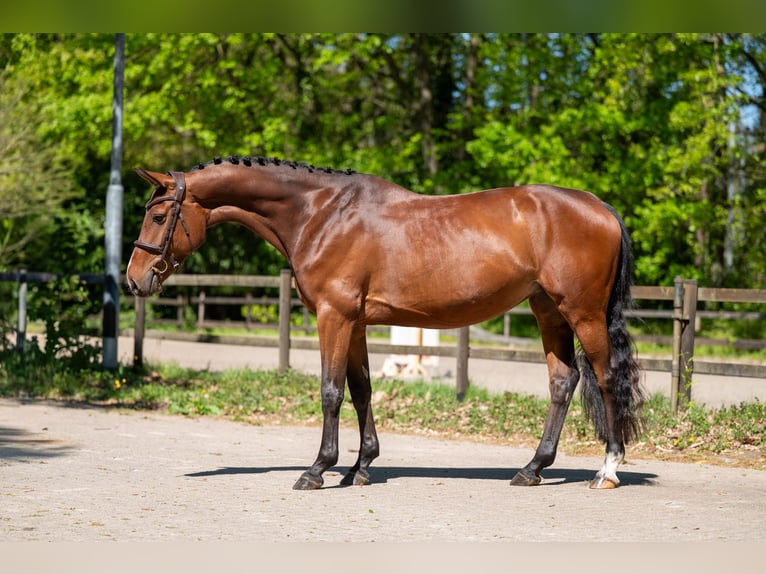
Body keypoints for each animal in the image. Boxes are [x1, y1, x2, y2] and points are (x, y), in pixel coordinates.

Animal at [127, 154, 645, 491]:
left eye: (159, 215)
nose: (134, 279)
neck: (321, 213)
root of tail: (599, 206)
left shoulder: (334, 318)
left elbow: (330, 392)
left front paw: (318, 469)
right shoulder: (354, 323)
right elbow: (361, 390)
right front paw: (361, 467)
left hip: (581, 312)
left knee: (605, 378)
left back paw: (607, 470)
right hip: (547, 310)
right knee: (563, 381)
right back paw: (532, 468)